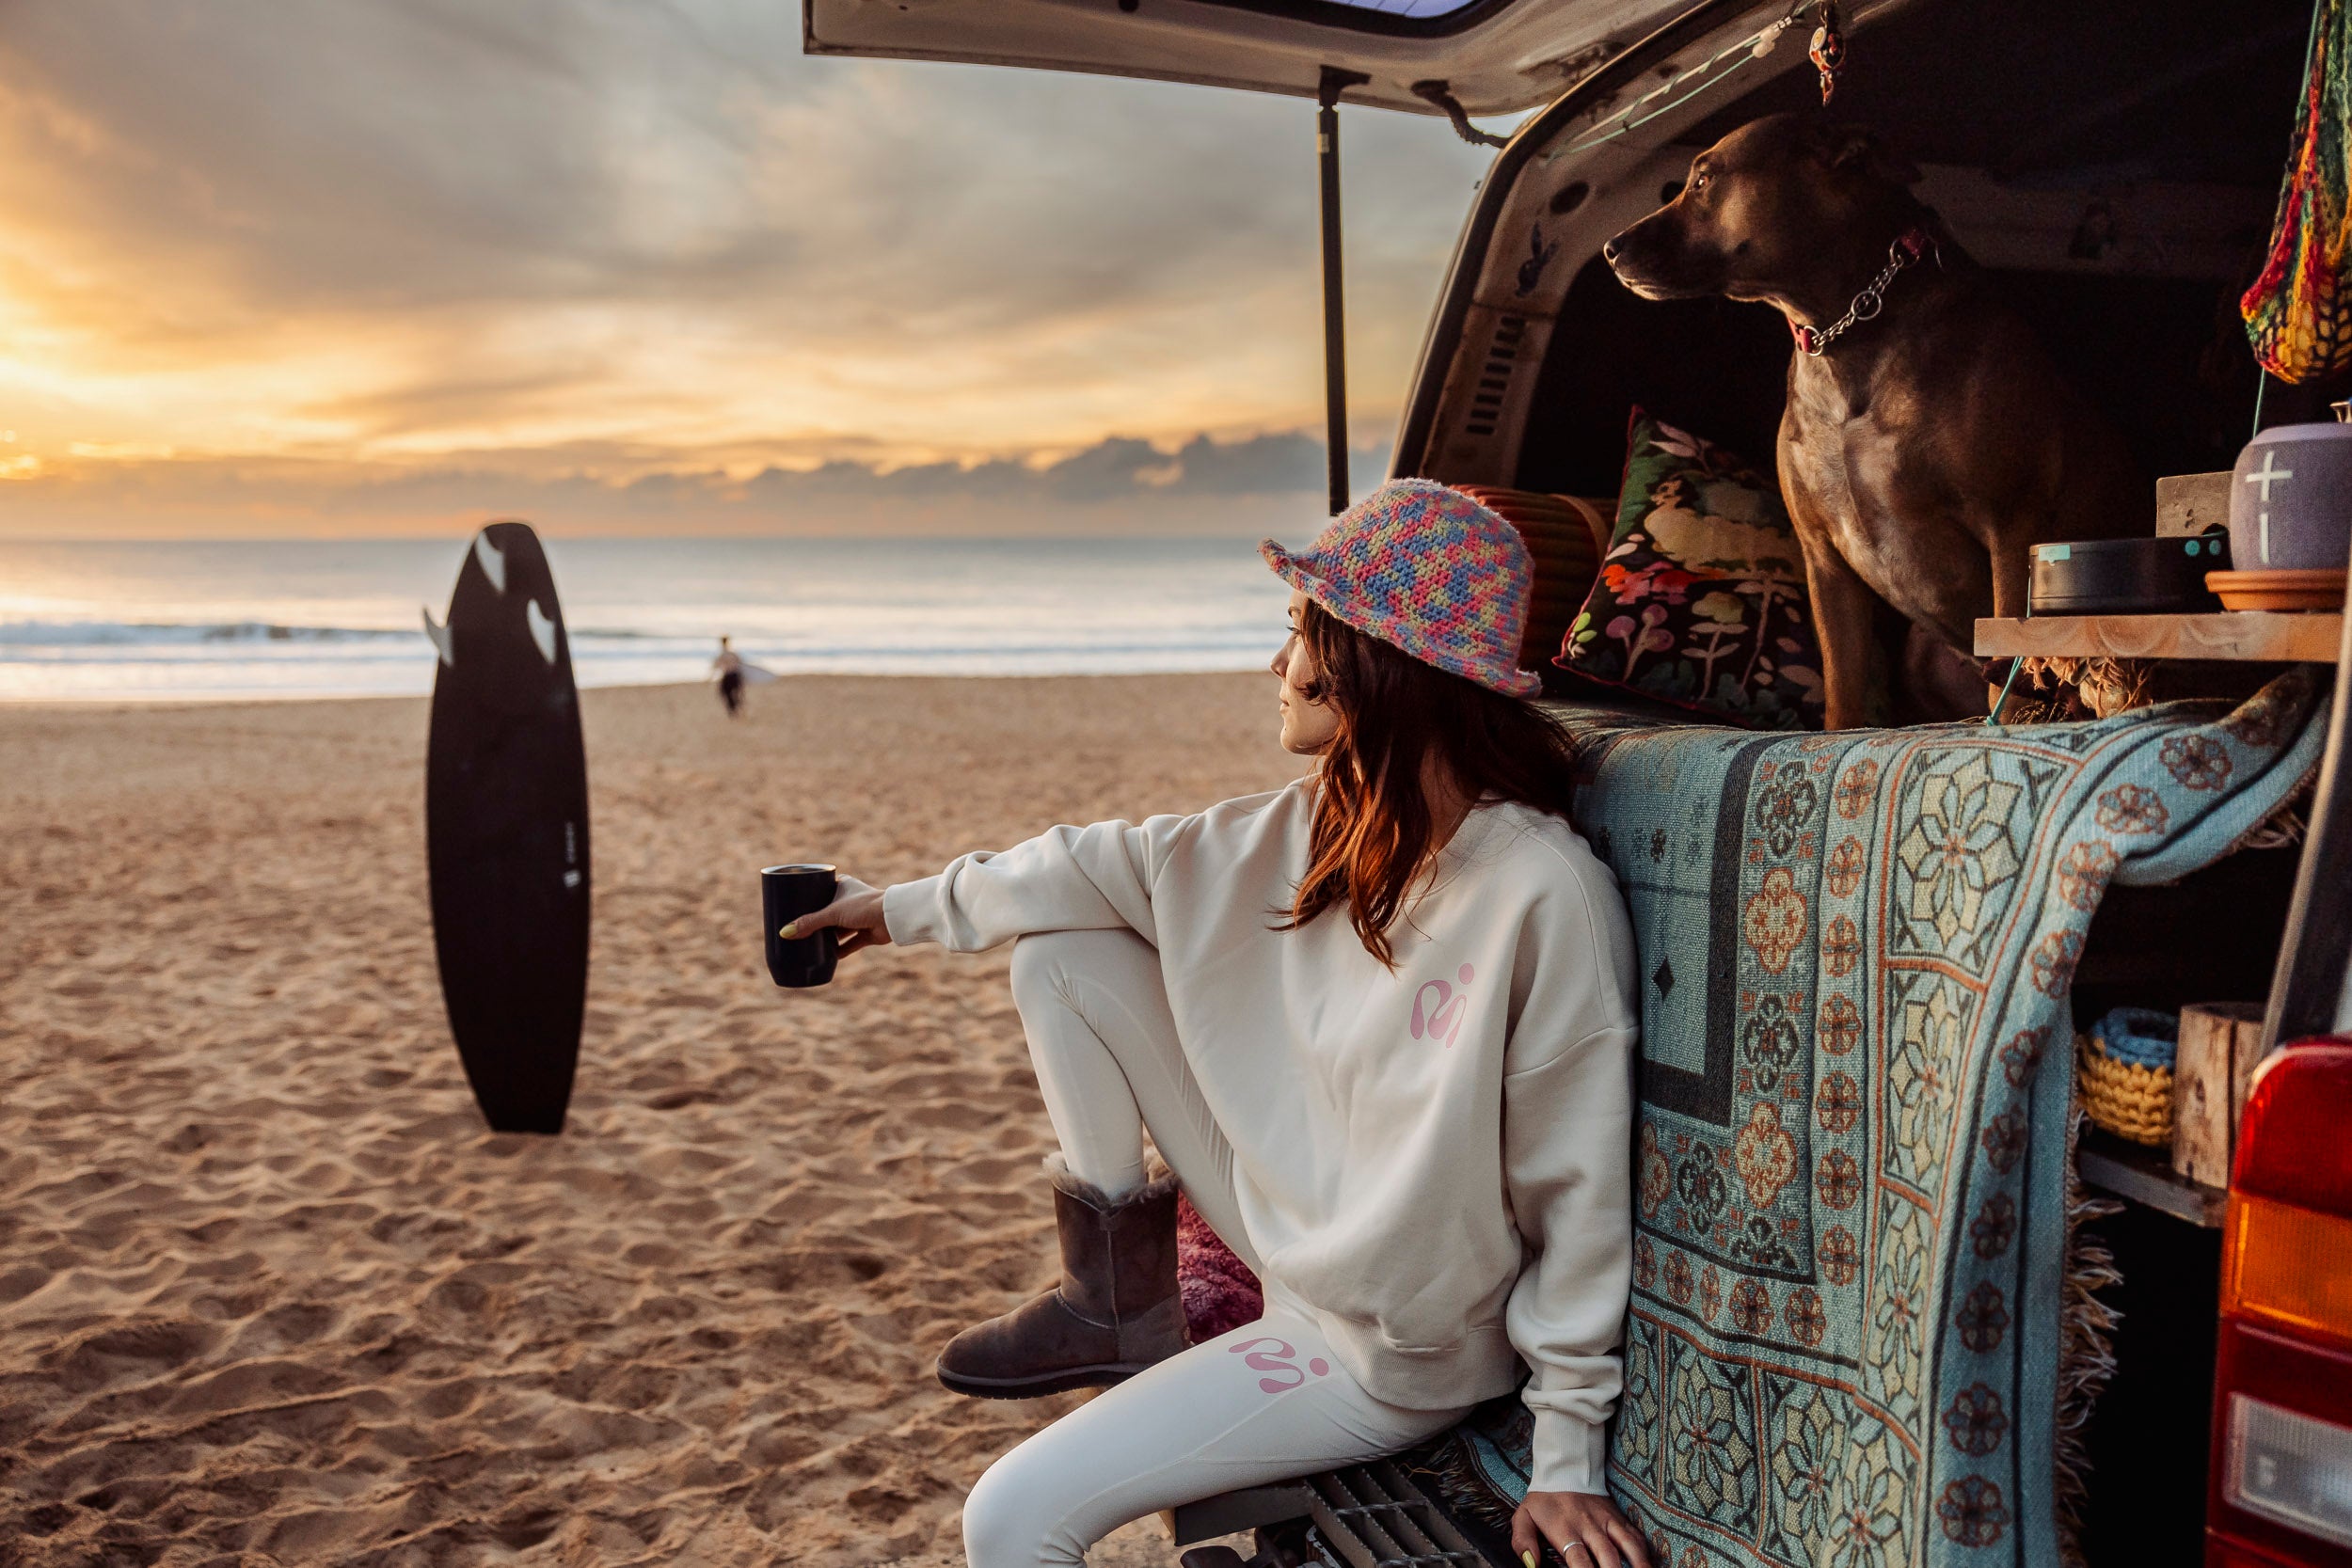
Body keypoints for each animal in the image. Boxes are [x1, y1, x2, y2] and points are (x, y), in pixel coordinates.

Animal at [1609, 116, 2145, 728]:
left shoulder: (2011, 527)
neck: (1846, 328)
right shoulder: (1824, 560)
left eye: (1703, 180)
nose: (1611, 248)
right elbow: (1842, 687)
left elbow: (2010, 665)